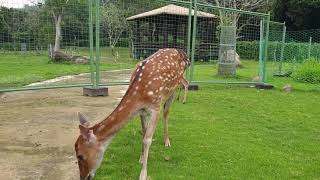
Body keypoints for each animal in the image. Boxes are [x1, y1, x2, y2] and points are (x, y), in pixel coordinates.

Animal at [75, 48, 190, 179]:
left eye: (80, 155)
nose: (83, 177)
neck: (140, 94)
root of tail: (183, 53)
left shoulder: (155, 107)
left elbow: (147, 139)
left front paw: (143, 174)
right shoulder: (142, 111)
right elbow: (144, 133)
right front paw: (142, 158)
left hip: (173, 90)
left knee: (166, 113)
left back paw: (167, 141)